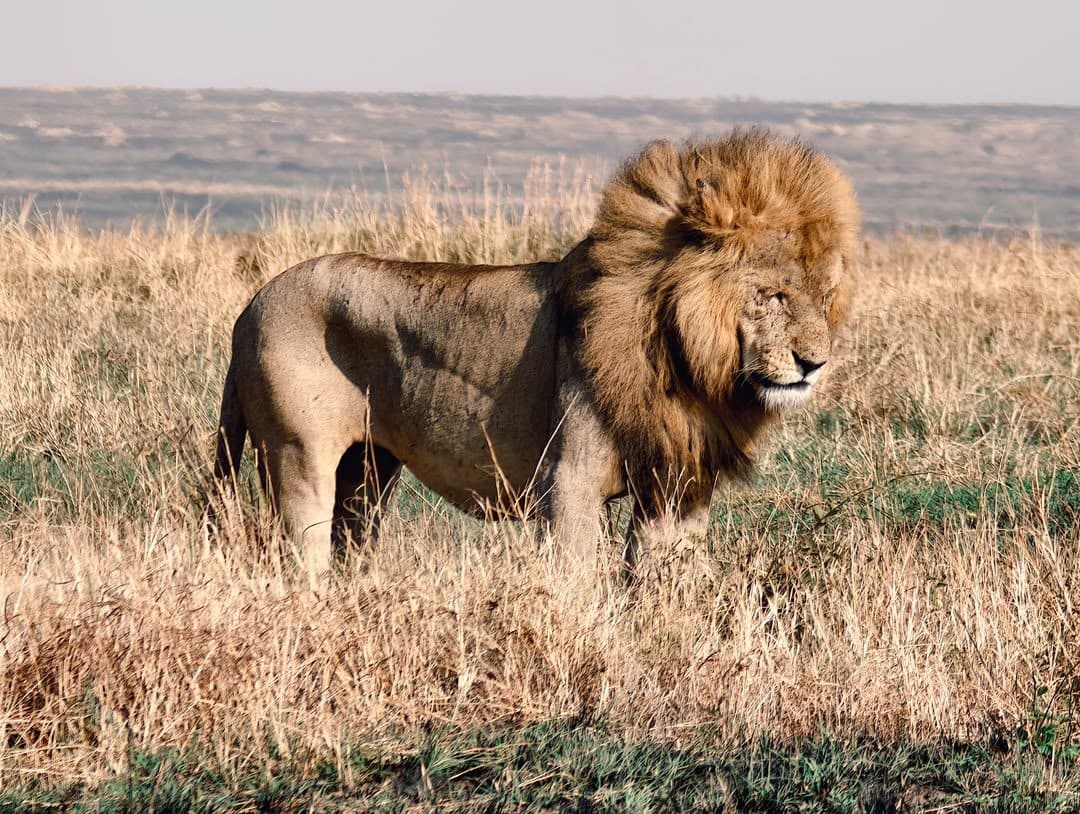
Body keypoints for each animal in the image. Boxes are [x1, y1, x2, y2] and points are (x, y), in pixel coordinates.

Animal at [213, 129, 859, 574]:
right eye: (773, 296)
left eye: (825, 296)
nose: (814, 364)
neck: (684, 357)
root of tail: (251, 306)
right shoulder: (567, 481)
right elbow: (575, 582)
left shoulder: (677, 486)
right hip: (299, 457)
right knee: (301, 559)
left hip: (369, 470)